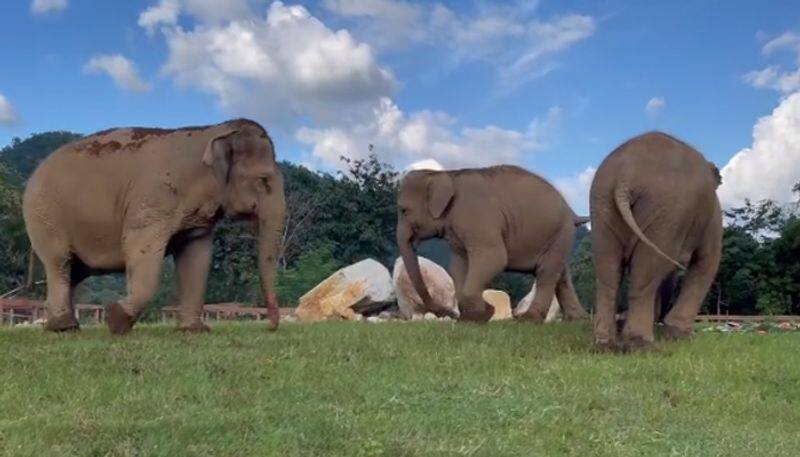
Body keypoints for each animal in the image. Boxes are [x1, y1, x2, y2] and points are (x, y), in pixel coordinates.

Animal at [23, 118, 286, 334]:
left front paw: (193, 330)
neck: (211, 131)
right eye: (263, 181)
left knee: (75, 271)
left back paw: (66, 326)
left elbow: (197, 257)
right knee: (60, 262)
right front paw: (116, 321)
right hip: (44, 215)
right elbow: (138, 247)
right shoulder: (153, 199)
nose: (270, 327)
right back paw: (64, 328)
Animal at [396, 166, 592, 322]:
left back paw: (529, 319)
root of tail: (572, 212)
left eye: (403, 210)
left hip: (559, 232)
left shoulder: (476, 217)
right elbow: (458, 266)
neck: (445, 174)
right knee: (562, 276)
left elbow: (494, 258)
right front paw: (473, 317)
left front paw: (480, 316)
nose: (452, 315)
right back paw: (577, 319)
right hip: (559, 236)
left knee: (547, 273)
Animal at [588, 130, 724, 350]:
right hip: (666, 213)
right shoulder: (712, 218)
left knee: (607, 271)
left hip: (602, 206)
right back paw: (642, 345)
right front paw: (682, 336)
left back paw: (604, 344)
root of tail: (624, 177)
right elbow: (707, 262)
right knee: (646, 271)